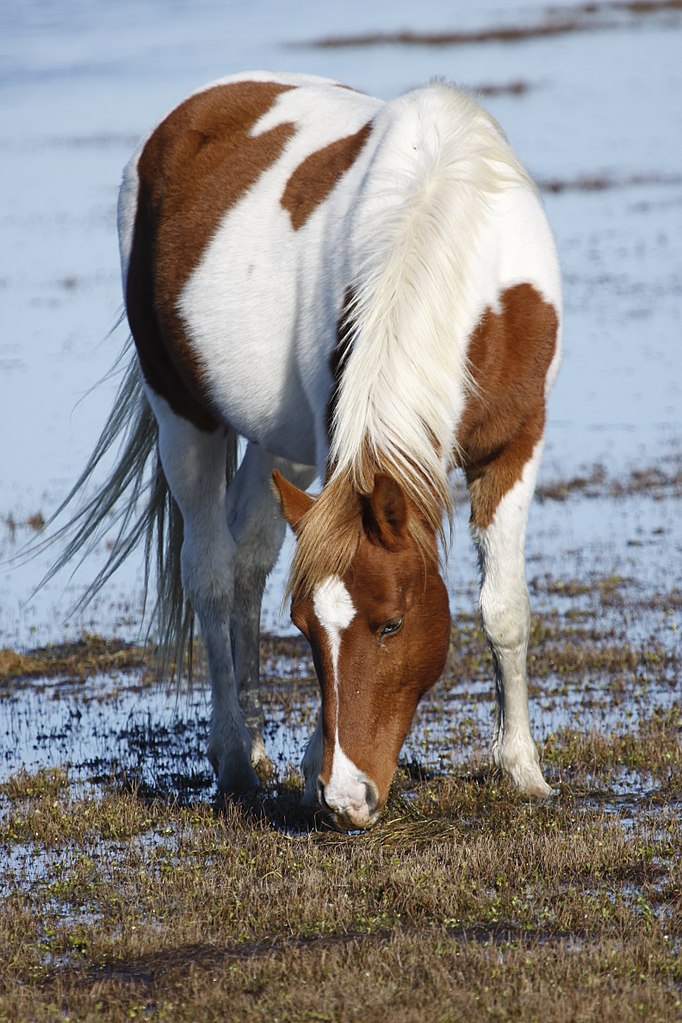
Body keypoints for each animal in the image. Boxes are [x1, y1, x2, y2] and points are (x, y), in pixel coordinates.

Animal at [54, 72, 560, 826]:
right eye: (305, 629)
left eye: (390, 624)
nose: (347, 797)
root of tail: (189, 113)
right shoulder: (336, 438)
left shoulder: (516, 443)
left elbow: (504, 606)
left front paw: (522, 767)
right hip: (183, 415)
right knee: (209, 572)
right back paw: (235, 757)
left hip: (276, 443)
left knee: (248, 559)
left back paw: (258, 743)